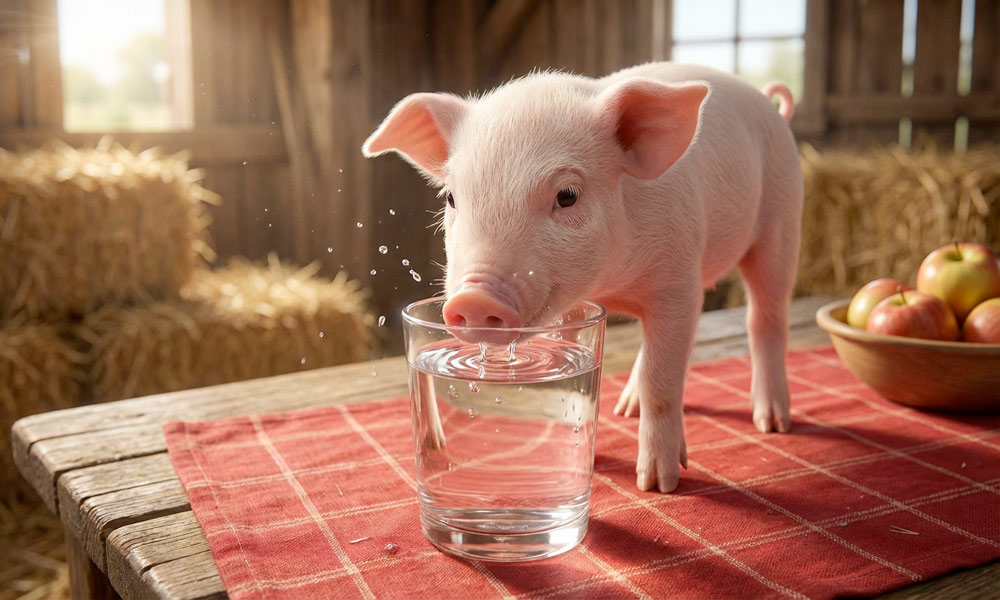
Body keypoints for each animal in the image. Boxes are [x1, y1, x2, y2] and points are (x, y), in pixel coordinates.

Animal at [363, 63, 802, 493]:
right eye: (451, 197)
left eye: (567, 195)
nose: (473, 299)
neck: (611, 284)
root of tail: (769, 106)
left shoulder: (679, 282)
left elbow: (662, 380)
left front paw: (657, 484)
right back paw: (626, 408)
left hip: (781, 219)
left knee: (765, 317)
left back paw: (773, 422)